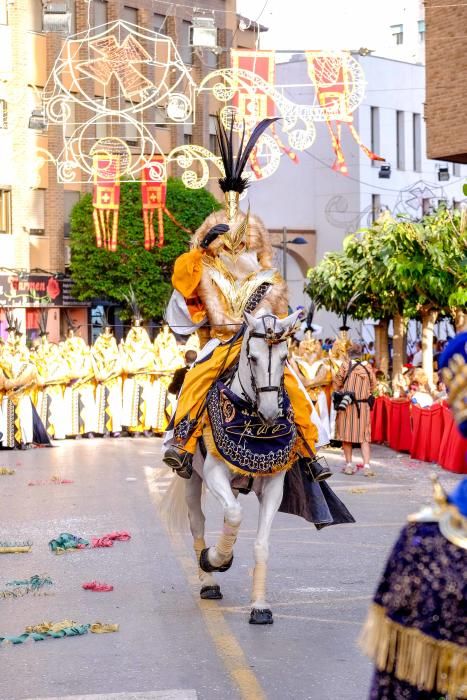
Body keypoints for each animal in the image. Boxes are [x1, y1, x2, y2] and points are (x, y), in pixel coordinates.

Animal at [160, 310, 300, 624]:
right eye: (253, 357)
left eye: (285, 357)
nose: (271, 412)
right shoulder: (214, 474)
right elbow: (233, 516)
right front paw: (214, 559)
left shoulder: (273, 487)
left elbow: (260, 544)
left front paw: (259, 605)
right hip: (192, 479)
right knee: (198, 522)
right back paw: (208, 579)